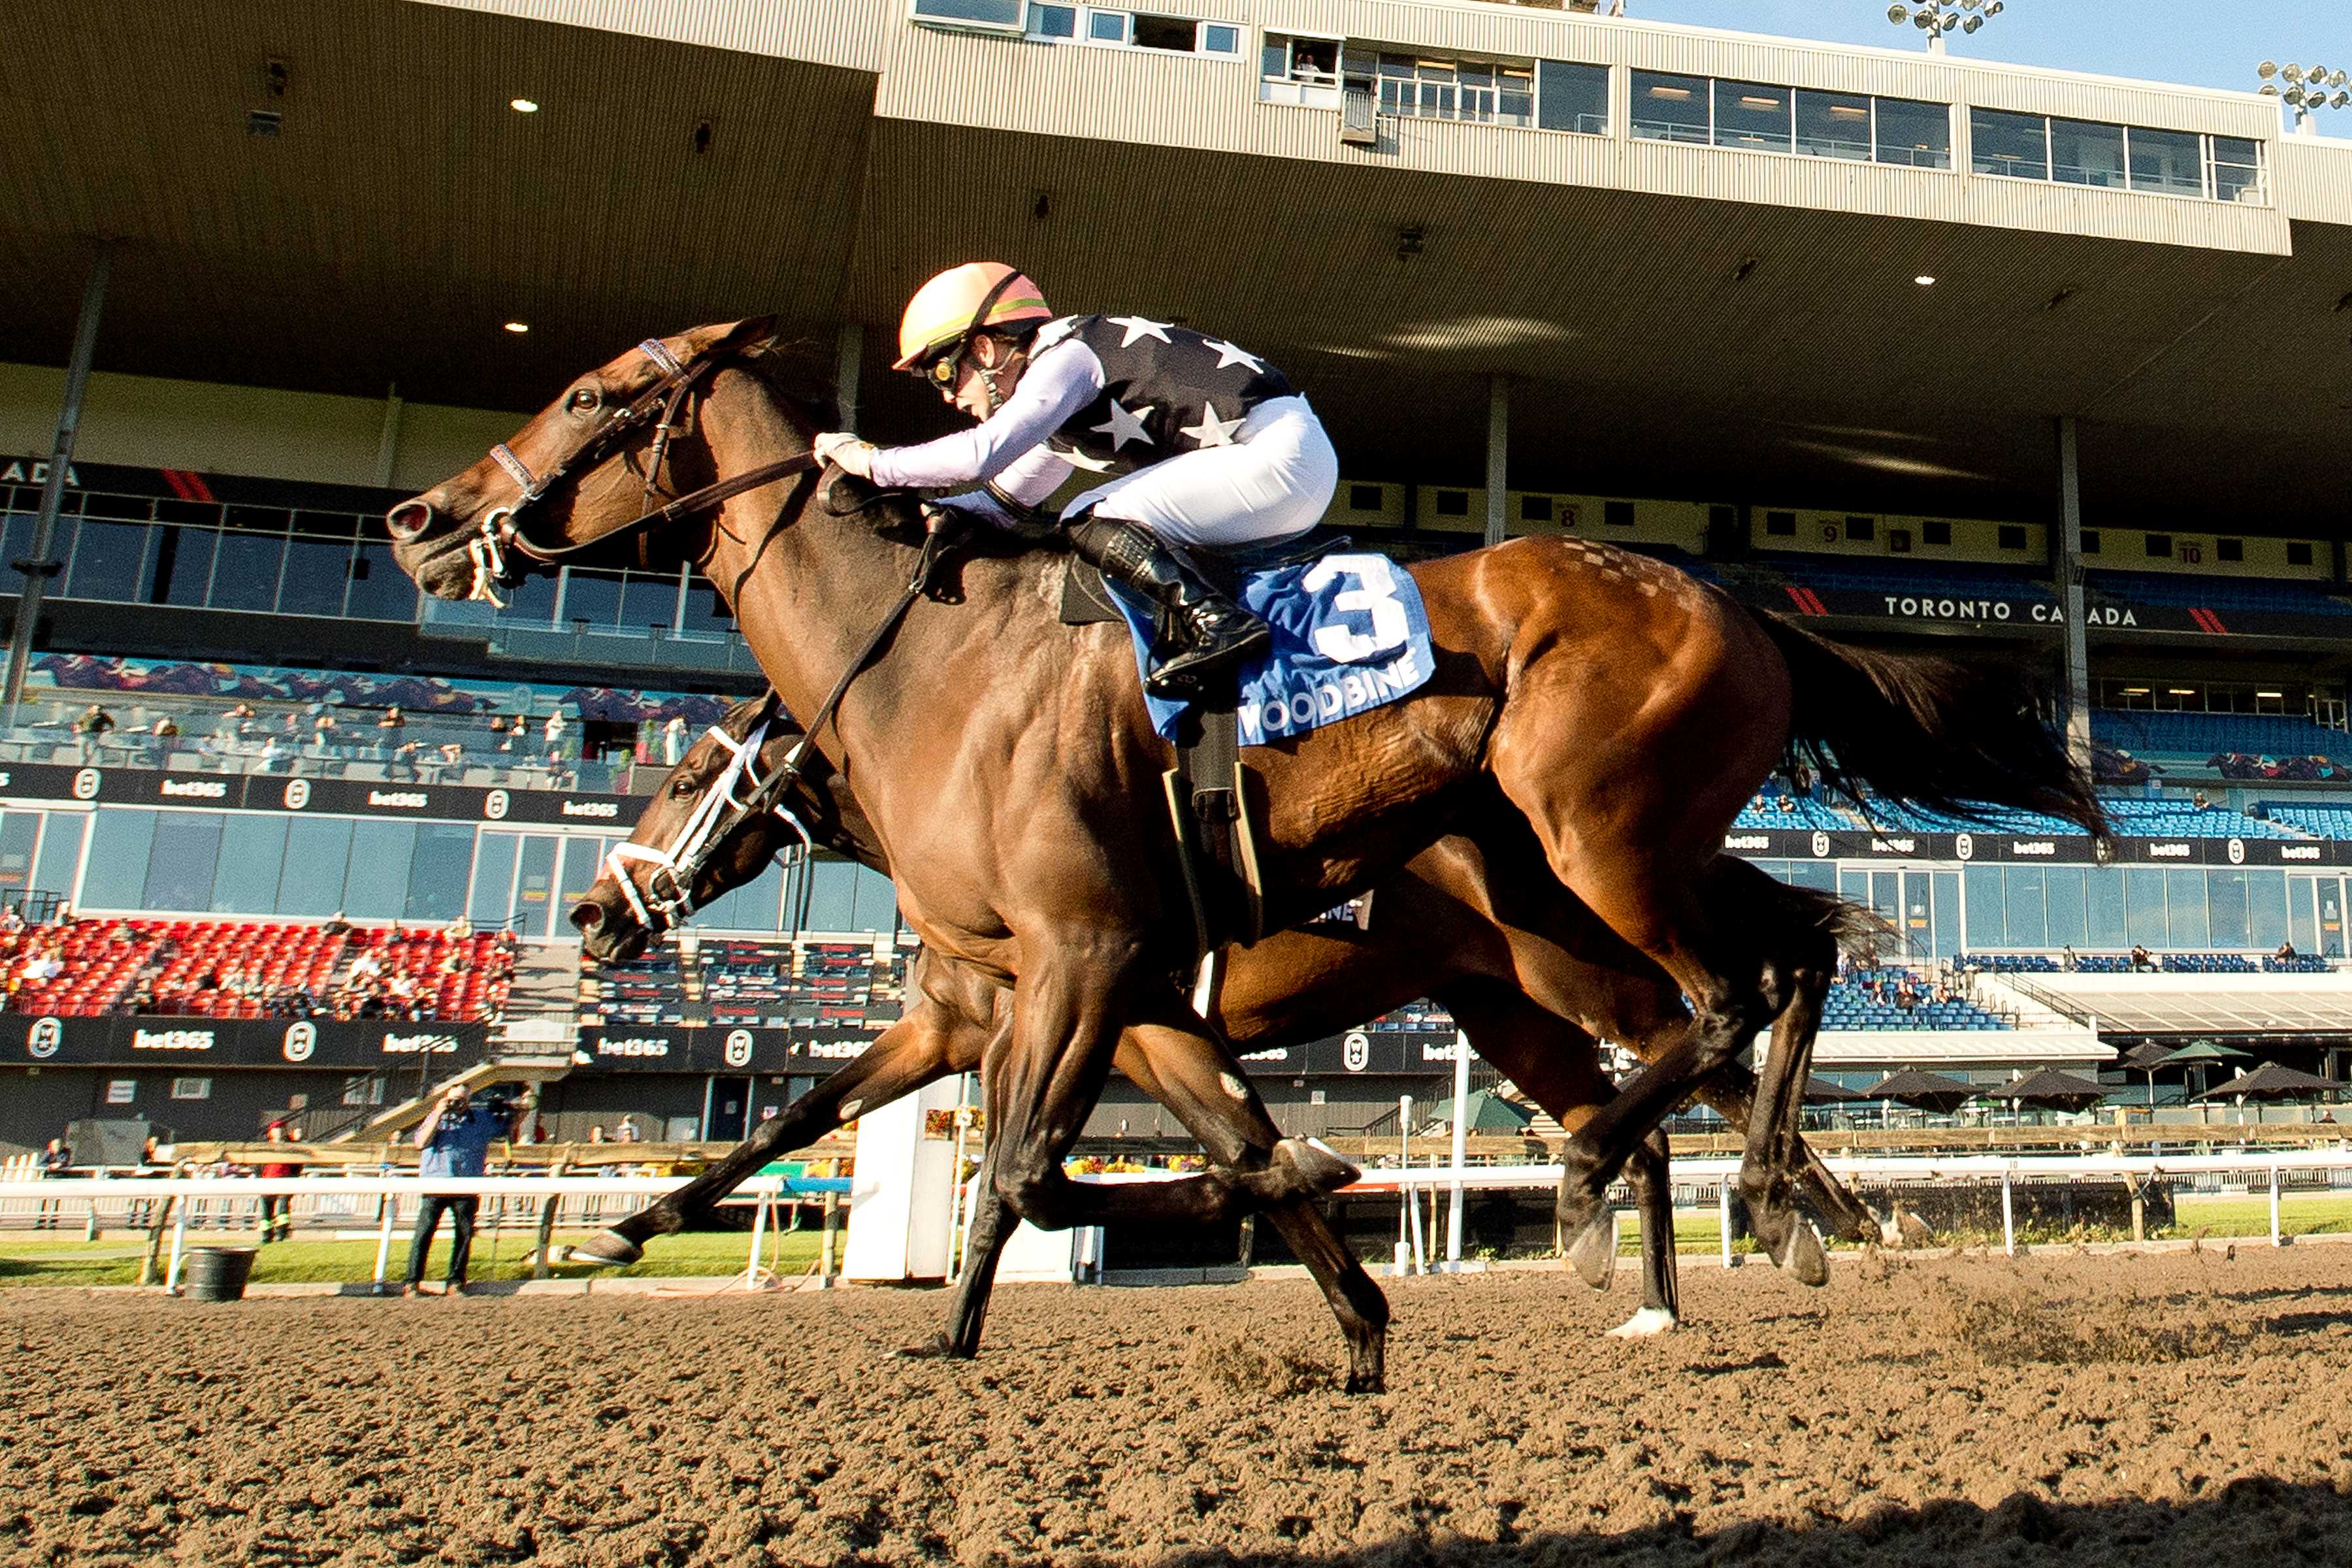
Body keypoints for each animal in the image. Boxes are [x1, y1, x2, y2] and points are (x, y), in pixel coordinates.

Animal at [574, 700, 1891, 1354]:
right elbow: (798, 1116)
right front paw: (625, 1231)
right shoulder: (961, 1029)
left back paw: (1826, 1222)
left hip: (1587, 969)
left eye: (685, 779)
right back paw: (1659, 1280)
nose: (591, 915)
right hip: (1511, 1007)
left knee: (1722, 1041)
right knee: (1655, 1107)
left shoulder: (1097, 1019)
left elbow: (1045, 1167)